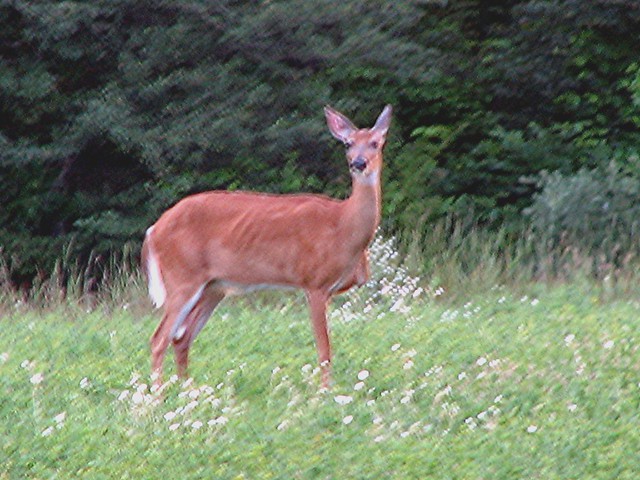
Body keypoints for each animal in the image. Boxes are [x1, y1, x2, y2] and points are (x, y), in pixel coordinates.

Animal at [141, 103, 390, 388]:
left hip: (212, 287)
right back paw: (159, 395)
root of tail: (154, 230)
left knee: (182, 338)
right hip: (182, 277)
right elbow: (324, 350)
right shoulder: (314, 282)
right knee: (159, 339)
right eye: (348, 143)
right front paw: (325, 392)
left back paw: (187, 390)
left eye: (375, 143)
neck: (342, 226)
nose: (358, 163)